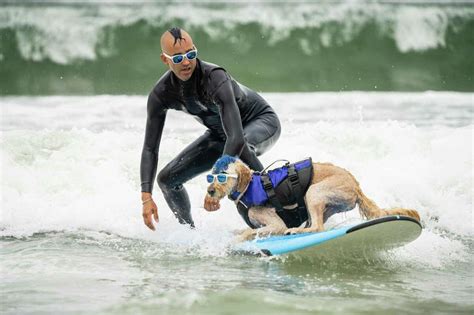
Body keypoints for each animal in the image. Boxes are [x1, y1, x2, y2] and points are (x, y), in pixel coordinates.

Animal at [202, 156, 420, 242]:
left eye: (223, 176)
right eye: (211, 176)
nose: (210, 191)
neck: (248, 188)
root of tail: (357, 186)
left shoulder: (276, 224)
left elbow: (249, 232)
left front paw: (237, 239)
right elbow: (245, 230)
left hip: (314, 192)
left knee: (318, 228)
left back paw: (296, 230)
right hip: (325, 204)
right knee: (316, 225)